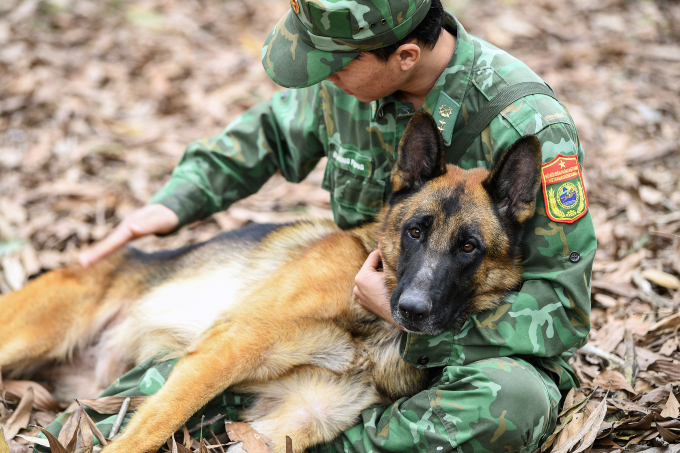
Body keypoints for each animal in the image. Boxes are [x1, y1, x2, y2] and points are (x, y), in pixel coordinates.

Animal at [0, 111, 540, 450]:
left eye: (468, 248)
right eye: (415, 231)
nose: (411, 309)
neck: (372, 329)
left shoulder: (295, 419)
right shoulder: (228, 346)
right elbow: (149, 430)